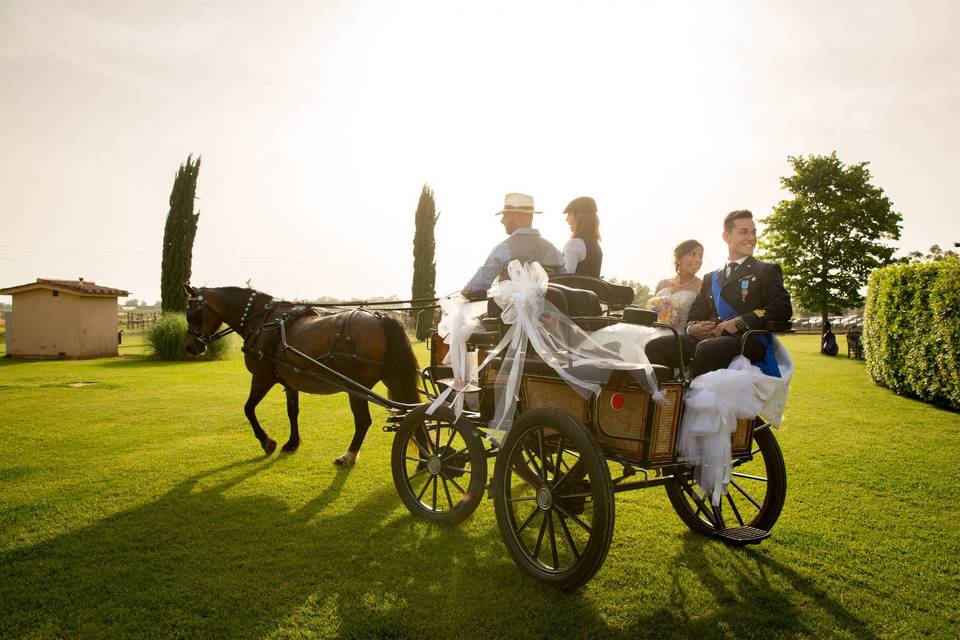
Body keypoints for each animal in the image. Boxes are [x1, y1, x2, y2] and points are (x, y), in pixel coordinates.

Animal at [183, 284, 420, 464]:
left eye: (194, 313)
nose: (191, 346)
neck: (263, 322)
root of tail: (382, 318)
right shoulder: (290, 382)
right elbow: (292, 412)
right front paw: (292, 442)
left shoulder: (262, 377)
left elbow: (248, 409)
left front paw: (267, 442)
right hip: (394, 379)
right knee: (408, 410)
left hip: (356, 386)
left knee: (364, 421)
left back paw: (349, 456)